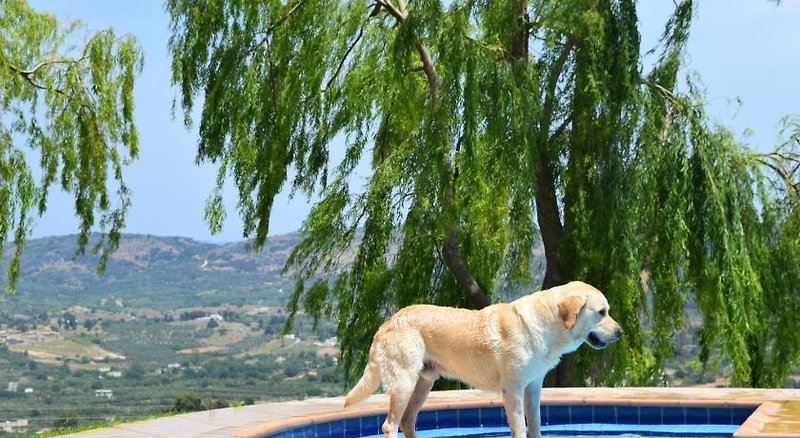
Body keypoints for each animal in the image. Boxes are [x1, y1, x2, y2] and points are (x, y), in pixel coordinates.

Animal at [344, 280, 624, 438]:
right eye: (602, 312)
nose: (621, 332)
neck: (549, 324)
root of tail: (388, 322)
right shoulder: (513, 389)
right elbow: (520, 428)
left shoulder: (533, 387)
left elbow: (534, 424)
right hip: (404, 382)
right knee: (390, 425)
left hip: (423, 383)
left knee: (407, 420)